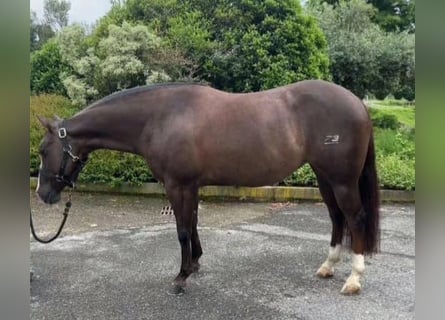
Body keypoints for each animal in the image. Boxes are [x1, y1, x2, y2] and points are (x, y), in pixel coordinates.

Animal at [36, 79, 380, 296]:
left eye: (41, 150)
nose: (43, 195)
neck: (160, 117)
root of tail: (358, 104)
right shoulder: (191, 185)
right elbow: (193, 224)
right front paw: (196, 264)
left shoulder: (177, 185)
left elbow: (182, 230)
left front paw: (181, 277)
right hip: (325, 177)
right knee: (336, 217)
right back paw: (327, 266)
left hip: (341, 180)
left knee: (355, 218)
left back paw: (354, 279)